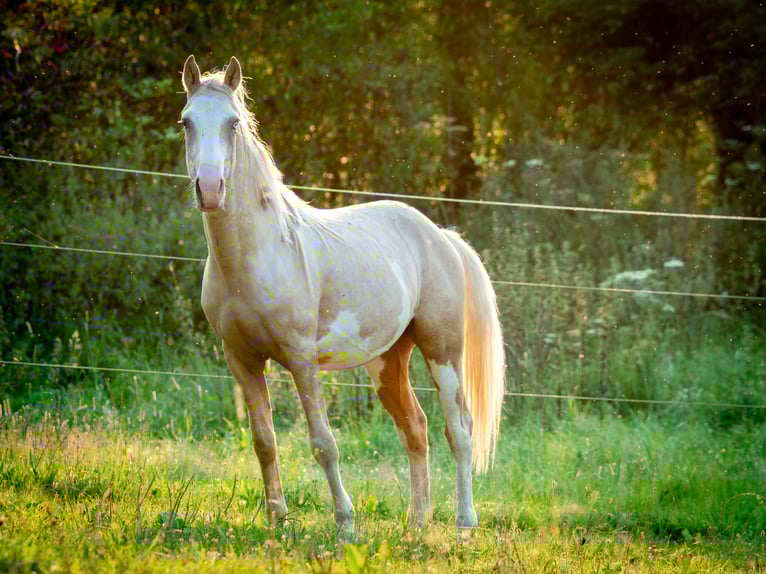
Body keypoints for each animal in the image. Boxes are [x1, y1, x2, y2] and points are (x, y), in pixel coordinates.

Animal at [179, 55, 505, 531]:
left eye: (233, 123)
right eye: (186, 122)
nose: (208, 188)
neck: (255, 256)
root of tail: (440, 236)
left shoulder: (301, 359)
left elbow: (323, 443)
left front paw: (345, 522)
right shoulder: (242, 360)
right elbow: (264, 442)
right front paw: (277, 519)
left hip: (442, 351)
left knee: (458, 429)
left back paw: (464, 522)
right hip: (388, 361)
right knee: (416, 428)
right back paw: (417, 524)